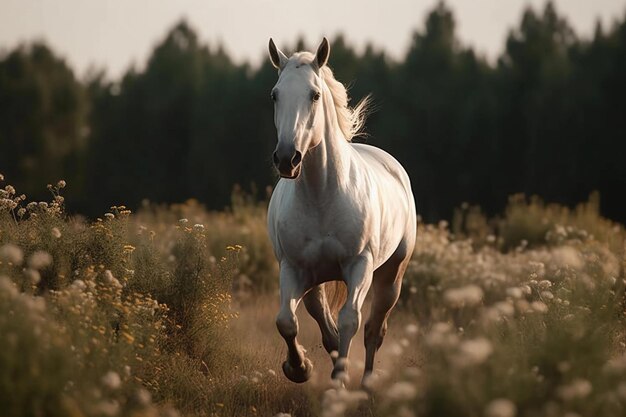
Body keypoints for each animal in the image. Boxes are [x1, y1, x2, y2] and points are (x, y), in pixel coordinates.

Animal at [264, 37, 414, 386]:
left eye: (314, 94)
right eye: (275, 94)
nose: (287, 158)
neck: (323, 195)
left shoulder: (360, 265)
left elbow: (350, 321)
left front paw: (337, 384)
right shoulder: (293, 269)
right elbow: (286, 321)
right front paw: (299, 368)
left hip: (391, 276)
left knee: (374, 330)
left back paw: (367, 386)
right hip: (315, 281)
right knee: (324, 322)